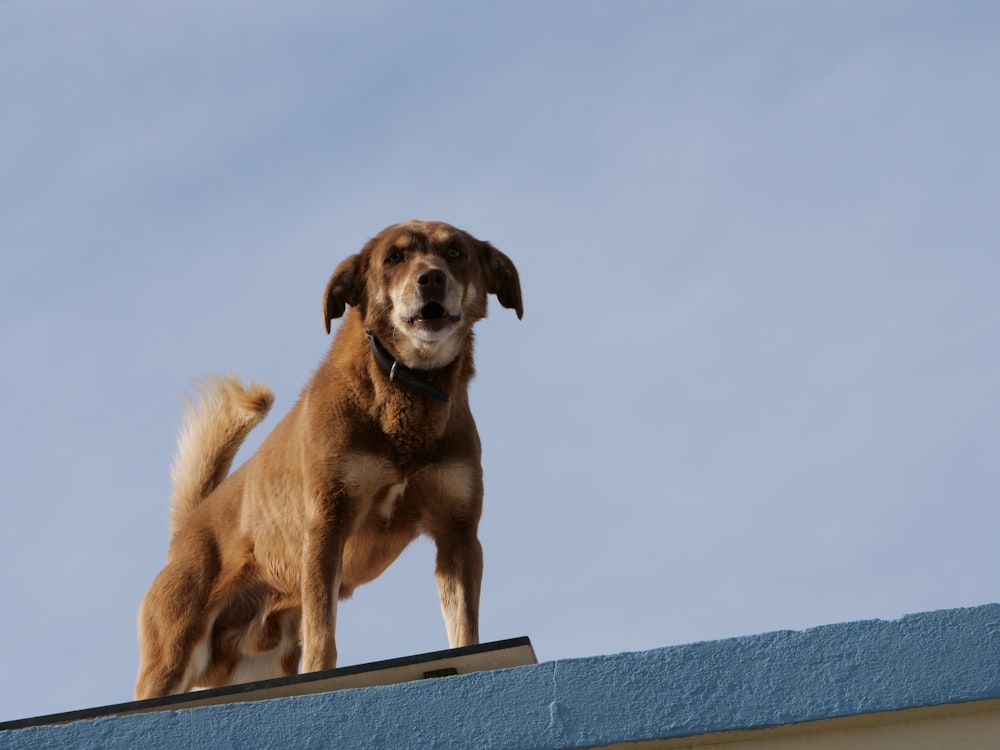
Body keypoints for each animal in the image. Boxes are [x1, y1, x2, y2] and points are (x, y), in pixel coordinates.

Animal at [135, 220, 524, 704]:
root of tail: (187, 528)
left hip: (256, 666)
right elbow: (323, 639)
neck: (406, 391)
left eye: (455, 252)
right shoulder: (327, 523)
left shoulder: (458, 535)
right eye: (394, 258)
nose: (431, 278)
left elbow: (464, 631)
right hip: (170, 657)